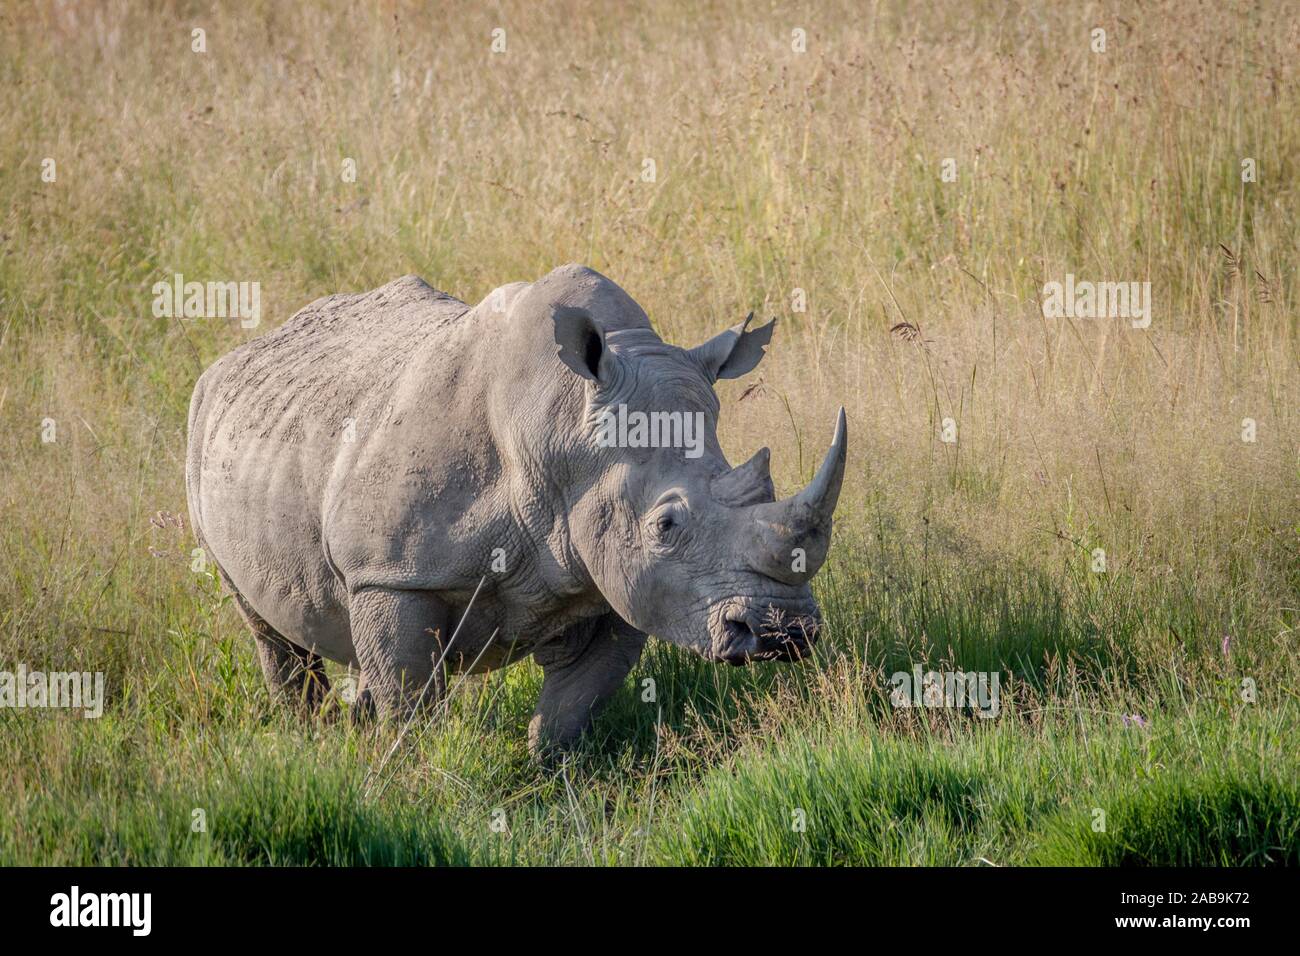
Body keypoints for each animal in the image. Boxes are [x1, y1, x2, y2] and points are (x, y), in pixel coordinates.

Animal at [188, 265, 847, 749]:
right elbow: (410, 702)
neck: (562, 431)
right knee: (264, 624)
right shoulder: (391, 573)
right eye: (666, 525)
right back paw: (310, 735)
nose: (784, 632)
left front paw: (550, 777)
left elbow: (570, 709)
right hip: (206, 433)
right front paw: (418, 774)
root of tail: (242, 351)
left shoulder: (616, 578)